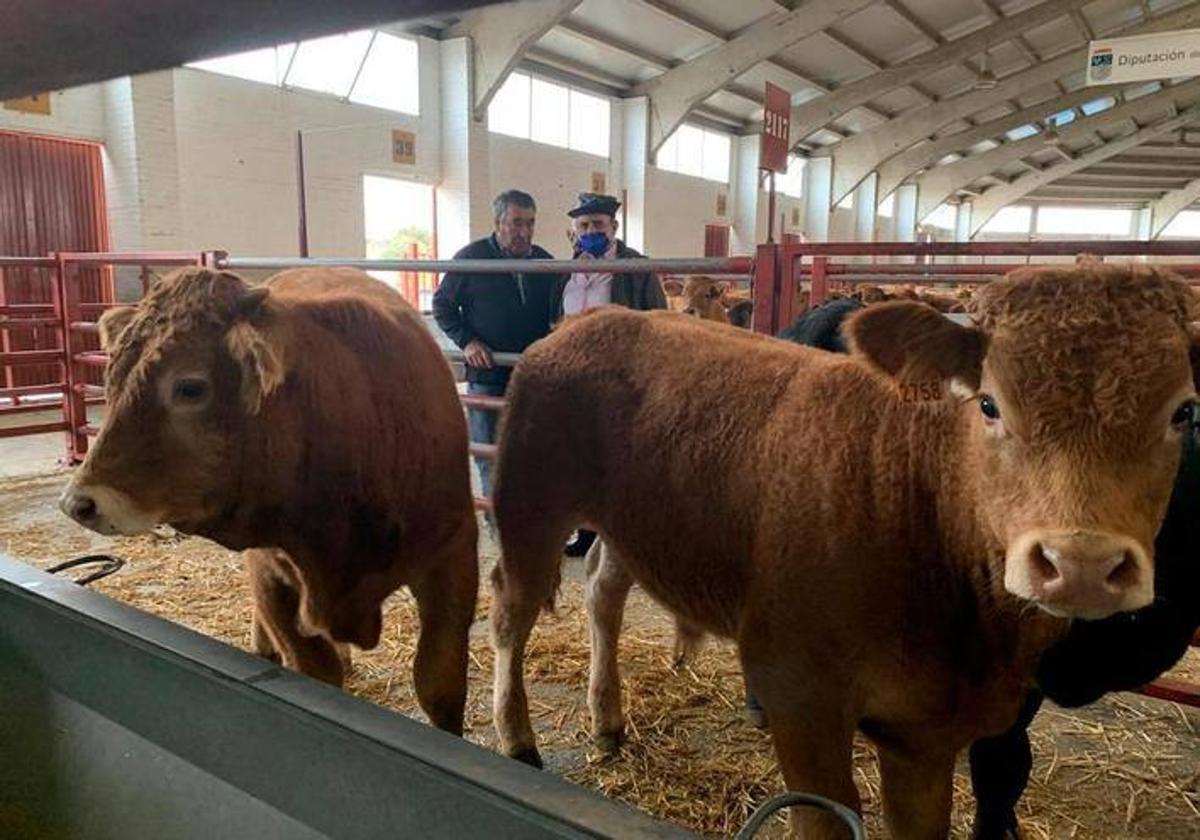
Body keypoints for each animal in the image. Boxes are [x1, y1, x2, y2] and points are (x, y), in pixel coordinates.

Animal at [58, 268, 475, 734]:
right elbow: (315, 670)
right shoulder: (270, 570)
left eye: (189, 387)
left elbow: (439, 682)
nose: (79, 502)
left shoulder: (452, 554)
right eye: (112, 379)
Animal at [487, 267, 1200, 835]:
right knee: (509, 611)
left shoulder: (926, 737)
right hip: (531, 502)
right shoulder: (799, 699)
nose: (1081, 563)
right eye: (990, 403)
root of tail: (591, 319)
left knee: (603, 593)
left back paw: (607, 718)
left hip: (630, 524)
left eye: (1185, 412)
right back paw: (516, 737)